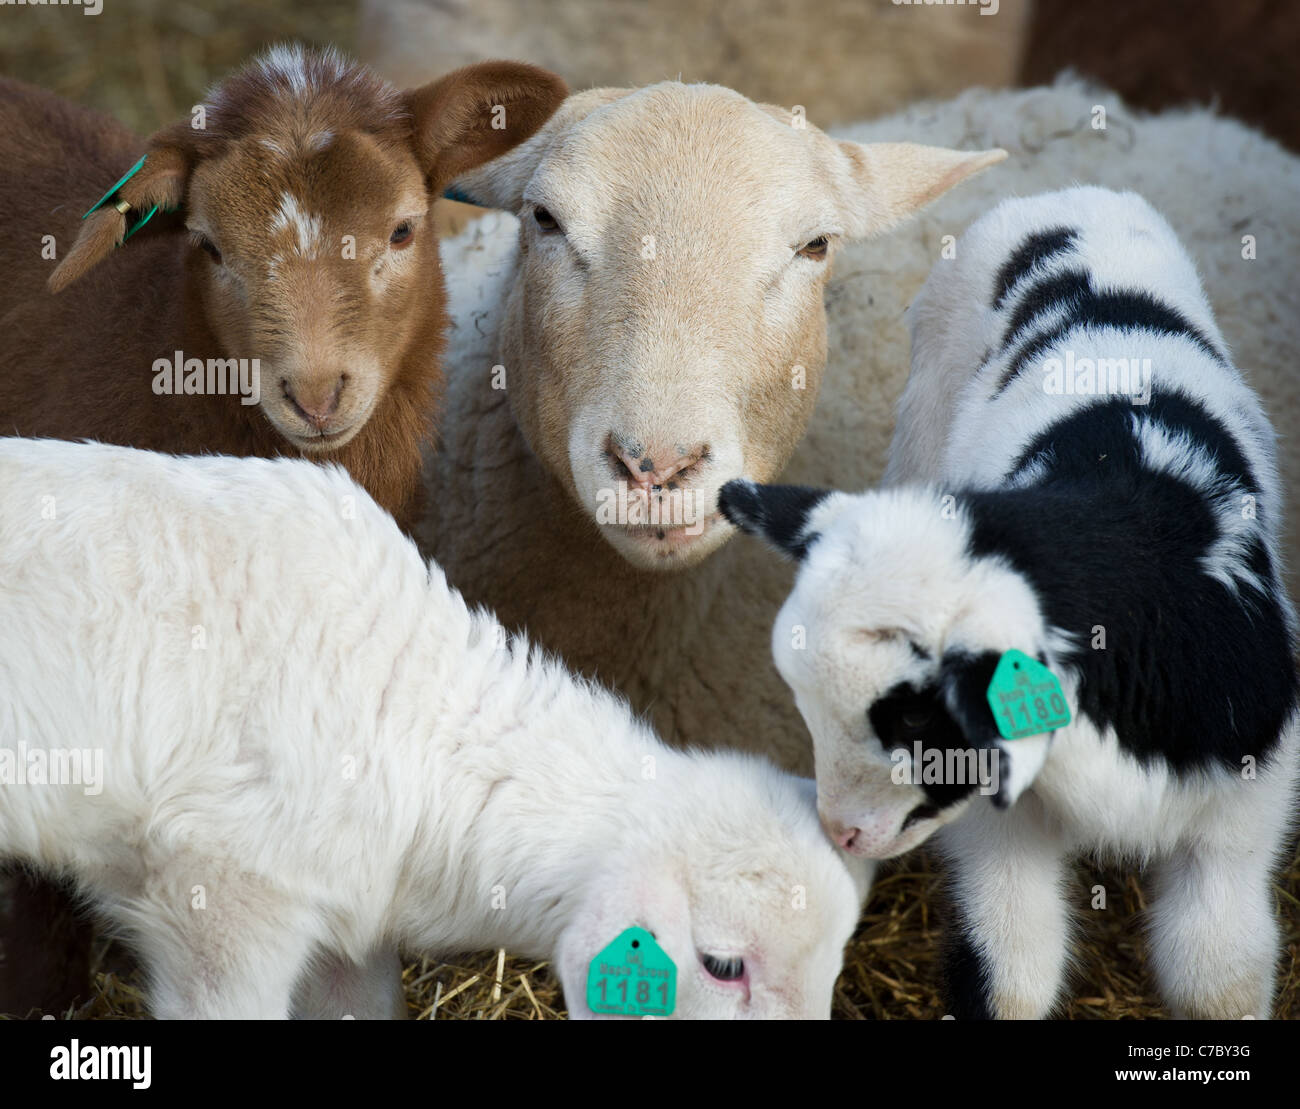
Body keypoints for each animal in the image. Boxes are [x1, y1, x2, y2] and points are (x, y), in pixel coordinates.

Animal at [717, 186, 1300, 1020]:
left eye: (915, 718)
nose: (842, 831)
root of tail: (1063, 196)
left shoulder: (1241, 814)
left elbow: (1217, 973)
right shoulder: (1004, 825)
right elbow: (1010, 970)